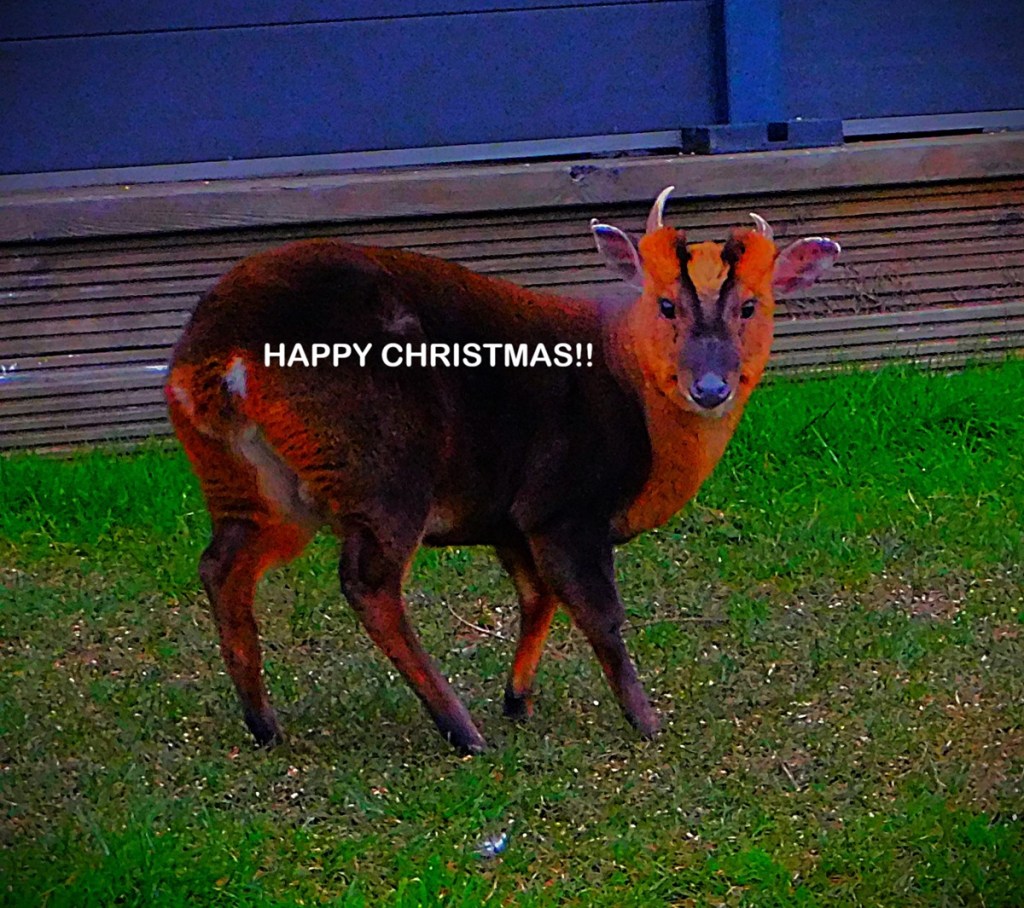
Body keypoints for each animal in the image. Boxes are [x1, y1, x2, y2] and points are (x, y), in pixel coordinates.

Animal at [165, 187, 840, 754]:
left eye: (751, 305)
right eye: (666, 303)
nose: (710, 386)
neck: (634, 385)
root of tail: (220, 357)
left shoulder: (513, 521)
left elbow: (537, 598)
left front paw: (518, 699)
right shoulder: (564, 504)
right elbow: (599, 612)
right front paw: (646, 719)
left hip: (247, 483)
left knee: (222, 566)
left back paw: (264, 724)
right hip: (385, 470)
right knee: (368, 583)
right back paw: (462, 730)